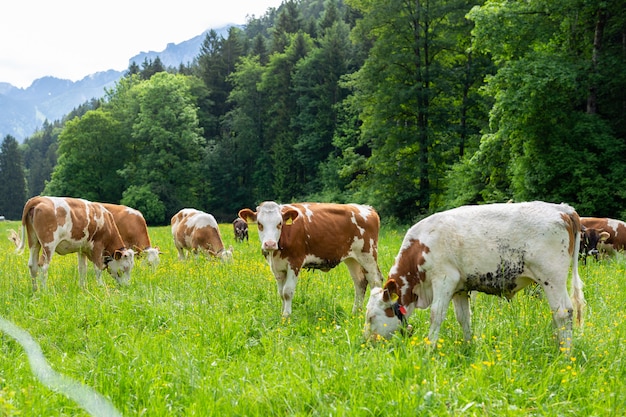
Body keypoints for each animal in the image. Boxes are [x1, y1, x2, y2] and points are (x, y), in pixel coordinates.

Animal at [236, 202, 380, 316]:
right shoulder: (277, 267)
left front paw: (287, 316)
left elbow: (287, 292)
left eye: (280, 223)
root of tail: (367, 208)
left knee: (375, 282)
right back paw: (355, 312)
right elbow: (281, 293)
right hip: (352, 259)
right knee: (360, 283)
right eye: (260, 224)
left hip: (368, 255)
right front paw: (282, 313)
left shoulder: (295, 262)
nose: (270, 244)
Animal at [364, 201, 584, 352]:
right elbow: (464, 317)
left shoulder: (444, 279)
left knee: (563, 312)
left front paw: (429, 348)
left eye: (371, 317)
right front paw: (468, 346)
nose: (366, 342)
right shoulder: (459, 288)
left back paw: (565, 353)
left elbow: (436, 315)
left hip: (552, 278)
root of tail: (562, 209)